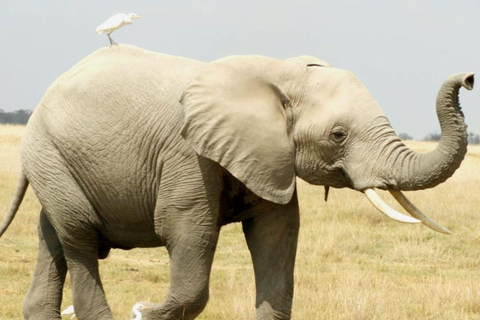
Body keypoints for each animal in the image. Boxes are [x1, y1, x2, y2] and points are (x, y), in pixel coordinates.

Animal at [0, 43, 474, 318]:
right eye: (338, 135)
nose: (469, 77)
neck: (278, 73)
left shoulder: (269, 156)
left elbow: (277, 236)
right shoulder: (187, 154)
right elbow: (187, 231)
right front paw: (144, 311)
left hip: (56, 162)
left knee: (53, 237)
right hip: (49, 153)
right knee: (79, 238)